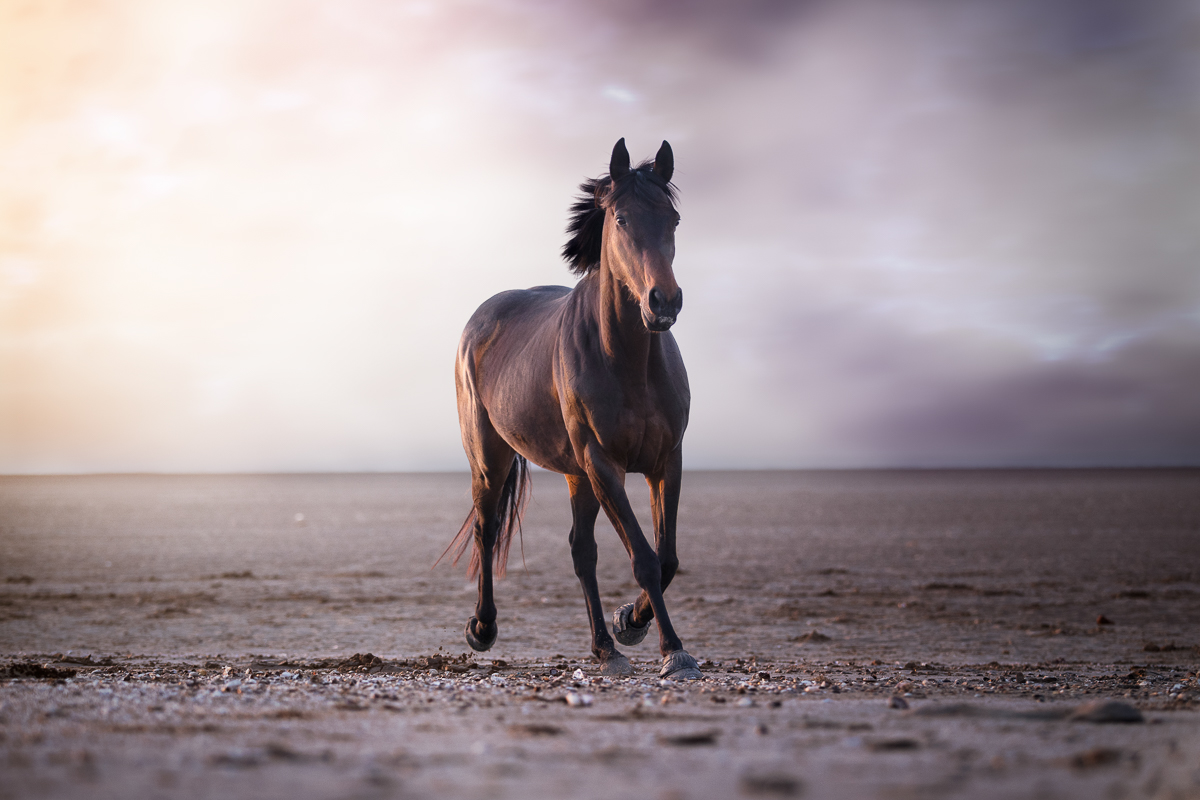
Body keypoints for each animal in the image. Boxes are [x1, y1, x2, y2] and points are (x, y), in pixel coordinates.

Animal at [441, 138, 701, 679]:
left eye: (673, 218)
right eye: (621, 218)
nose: (663, 301)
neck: (628, 362)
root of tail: (481, 317)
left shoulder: (666, 460)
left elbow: (666, 558)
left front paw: (631, 623)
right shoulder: (604, 464)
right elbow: (645, 558)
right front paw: (673, 649)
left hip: (576, 475)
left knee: (582, 551)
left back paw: (605, 646)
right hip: (493, 460)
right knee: (486, 530)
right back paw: (482, 628)